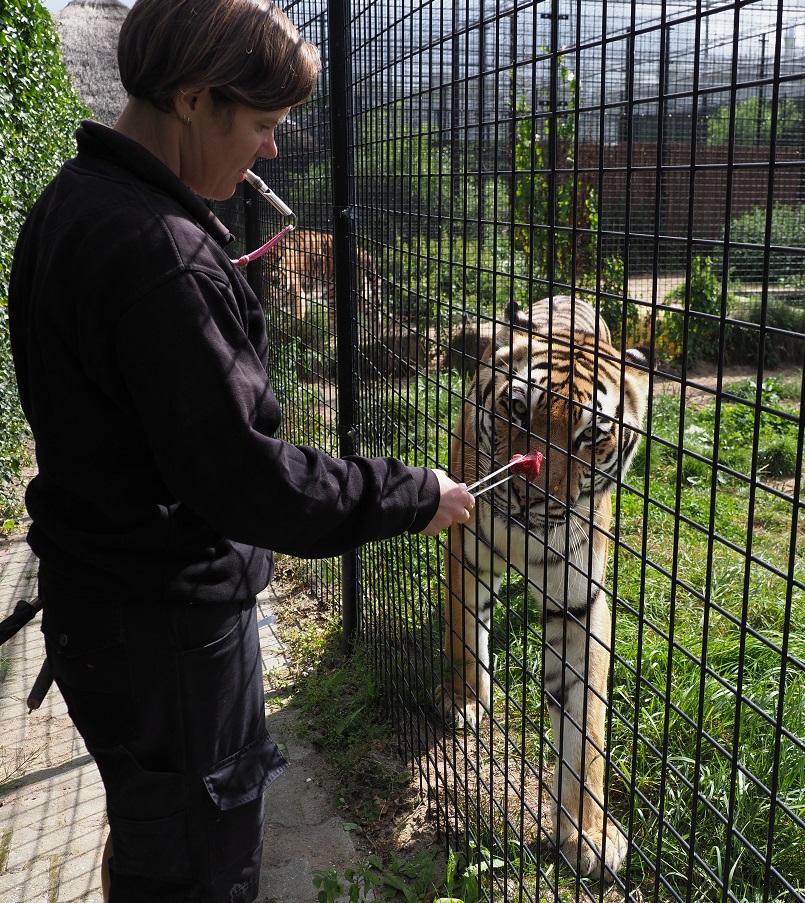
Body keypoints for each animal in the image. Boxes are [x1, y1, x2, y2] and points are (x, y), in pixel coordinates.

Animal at [442, 296, 652, 884]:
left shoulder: (580, 603)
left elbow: (585, 732)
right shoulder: (465, 550)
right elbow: (466, 636)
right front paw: (466, 703)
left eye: (590, 436)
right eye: (516, 409)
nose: (527, 495)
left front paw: (589, 835)